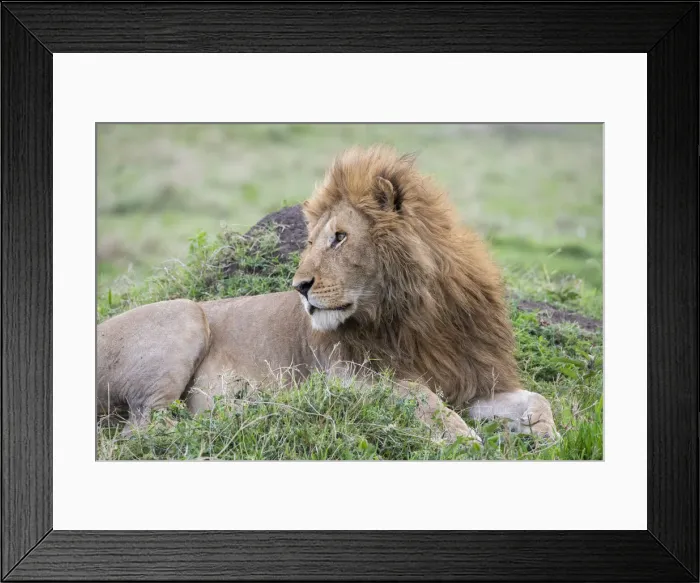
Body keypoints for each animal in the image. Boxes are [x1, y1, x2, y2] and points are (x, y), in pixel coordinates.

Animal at [97, 144, 558, 444]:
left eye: (339, 238)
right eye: (311, 241)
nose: (299, 287)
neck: (419, 316)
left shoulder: (471, 379)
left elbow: (538, 399)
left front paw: (543, 434)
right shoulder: (349, 377)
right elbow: (420, 397)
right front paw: (461, 438)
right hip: (184, 315)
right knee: (144, 427)